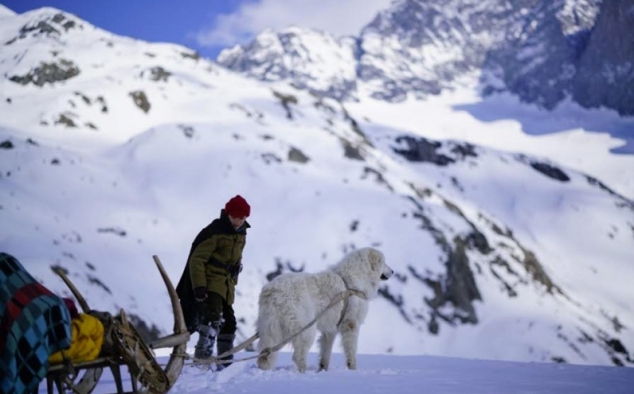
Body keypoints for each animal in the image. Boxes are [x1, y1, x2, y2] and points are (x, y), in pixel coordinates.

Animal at [253, 248, 390, 370]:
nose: (393, 271)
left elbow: (326, 351)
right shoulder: (351, 323)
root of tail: (272, 290)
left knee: (265, 354)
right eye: (384, 262)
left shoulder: (330, 329)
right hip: (305, 327)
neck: (355, 280)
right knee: (297, 355)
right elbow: (351, 349)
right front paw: (353, 369)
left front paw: (323, 369)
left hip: (271, 328)